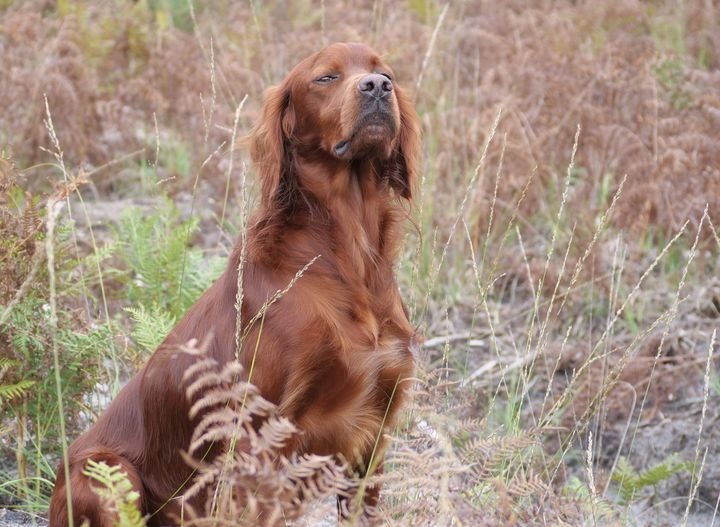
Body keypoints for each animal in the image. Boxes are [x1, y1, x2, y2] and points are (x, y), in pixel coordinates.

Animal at [50, 43, 420, 524]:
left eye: (385, 72)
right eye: (325, 78)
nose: (377, 87)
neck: (347, 255)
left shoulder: (374, 431)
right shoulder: (261, 435)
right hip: (108, 473)